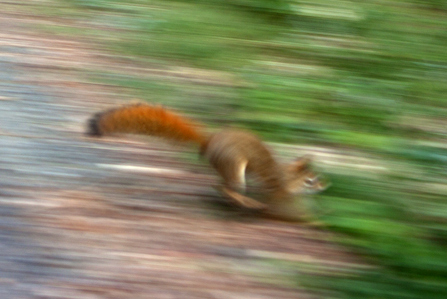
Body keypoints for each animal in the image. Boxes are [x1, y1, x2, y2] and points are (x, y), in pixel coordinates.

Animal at [86, 104, 328, 221]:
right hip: (234, 165)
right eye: (311, 180)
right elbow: (287, 211)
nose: (325, 186)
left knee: (221, 186)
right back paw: (246, 202)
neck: (288, 177)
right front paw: (311, 218)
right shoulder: (280, 193)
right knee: (223, 186)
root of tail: (209, 142)